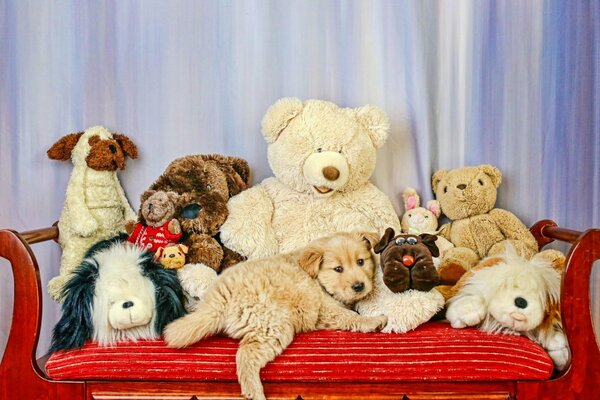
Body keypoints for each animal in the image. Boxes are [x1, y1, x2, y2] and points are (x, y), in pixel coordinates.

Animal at [165, 231, 390, 400]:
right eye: (338, 269)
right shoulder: (324, 310)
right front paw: (373, 320)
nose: (359, 286)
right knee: (245, 355)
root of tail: (219, 299)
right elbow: (349, 316)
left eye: (360, 262)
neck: (317, 278)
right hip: (273, 325)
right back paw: (254, 391)